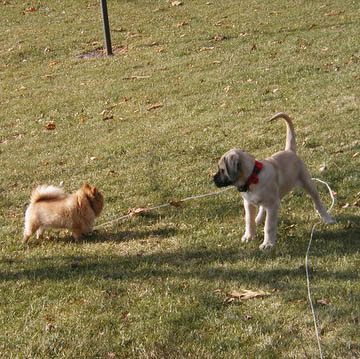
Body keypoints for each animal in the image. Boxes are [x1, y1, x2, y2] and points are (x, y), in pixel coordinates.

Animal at [214, 113, 334, 250]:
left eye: (222, 170)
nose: (213, 180)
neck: (253, 177)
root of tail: (289, 150)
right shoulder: (248, 203)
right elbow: (248, 221)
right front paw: (249, 236)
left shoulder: (273, 205)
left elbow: (269, 226)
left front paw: (268, 244)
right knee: (261, 209)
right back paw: (257, 219)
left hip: (308, 183)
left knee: (318, 203)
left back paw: (327, 218)